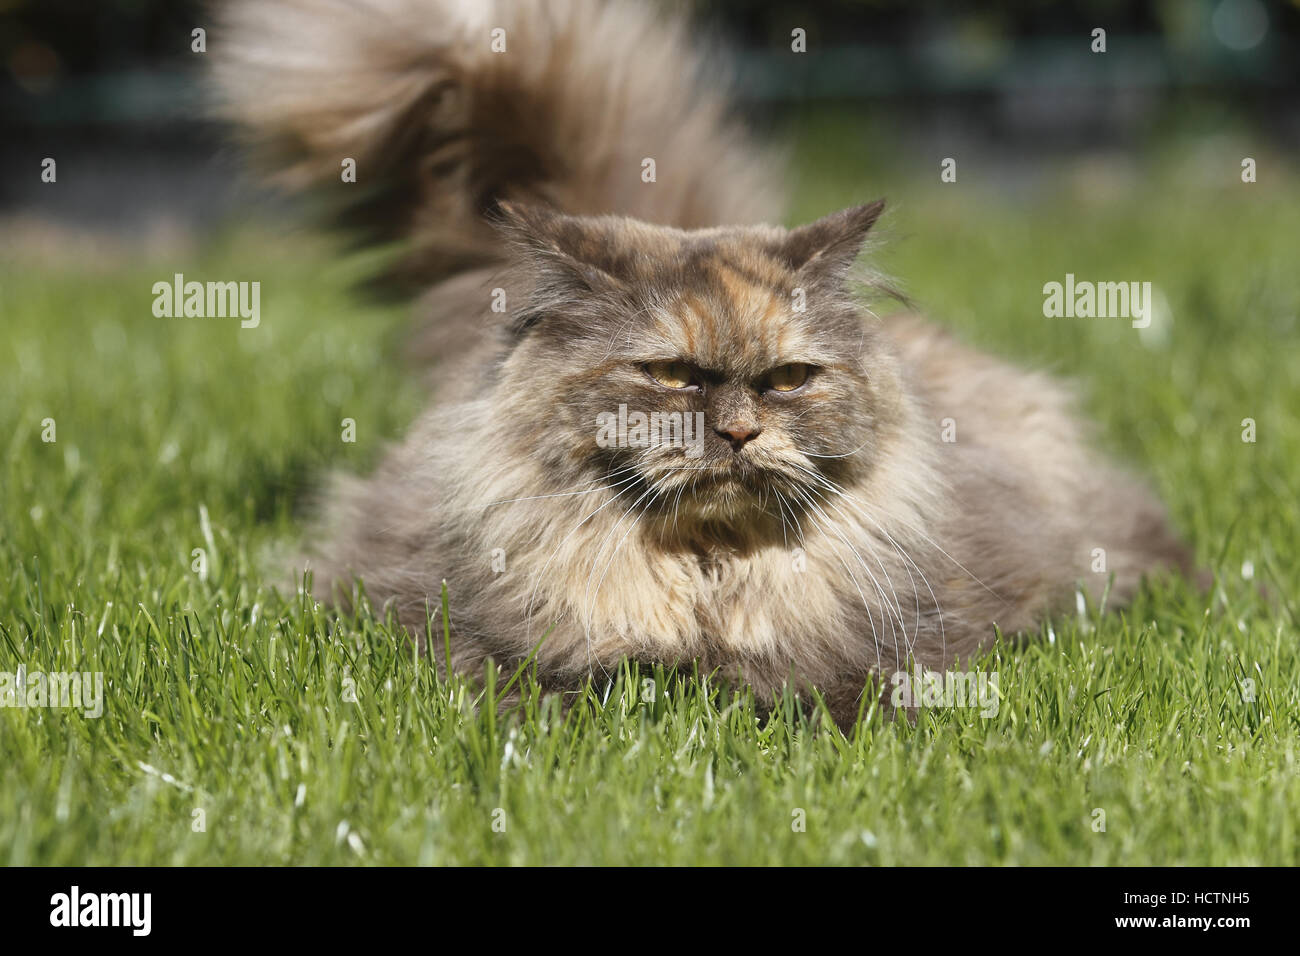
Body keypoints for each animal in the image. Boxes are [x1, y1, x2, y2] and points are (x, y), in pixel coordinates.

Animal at [210, 0, 1190, 723]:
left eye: (789, 379)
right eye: (674, 375)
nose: (740, 432)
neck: (707, 581)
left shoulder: (911, 638)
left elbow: (848, 693)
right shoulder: (472, 633)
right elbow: (538, 688)